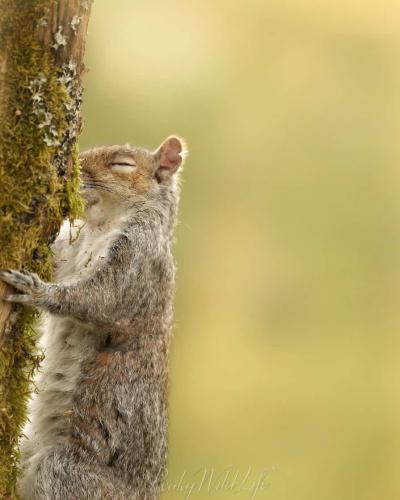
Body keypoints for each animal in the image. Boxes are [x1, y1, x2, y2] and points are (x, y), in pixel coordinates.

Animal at [0, 135, 188, 498]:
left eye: (122, 164)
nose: (73, 170)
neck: (102, 223)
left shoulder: (138, 262)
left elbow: (99, 299)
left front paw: (35, 291)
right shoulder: (69, 252)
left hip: (64, 471)